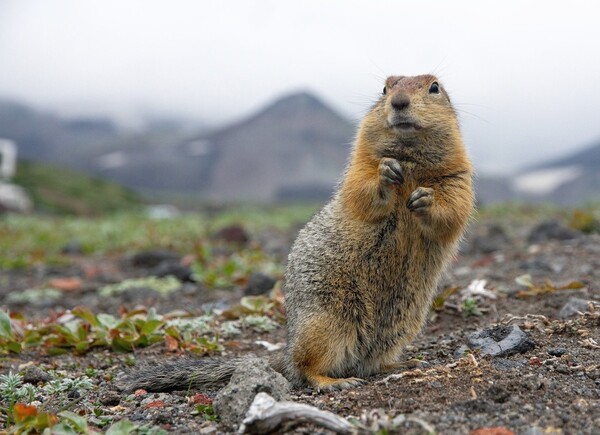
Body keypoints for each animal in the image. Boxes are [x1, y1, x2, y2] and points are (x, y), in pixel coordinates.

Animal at [125, 75, 474, 396]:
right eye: (385, 88)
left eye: (434, 87)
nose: (399, 102)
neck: (410, 158)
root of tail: (287, 350)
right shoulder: (359, 164)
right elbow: (360, 189)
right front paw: (385, 173)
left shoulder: (458, 175)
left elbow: (454, 208)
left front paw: (426, 200)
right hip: (327, 321)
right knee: (305, 369)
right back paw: (336, 381)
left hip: (400, 326)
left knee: (371, 362)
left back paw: (402, 362)